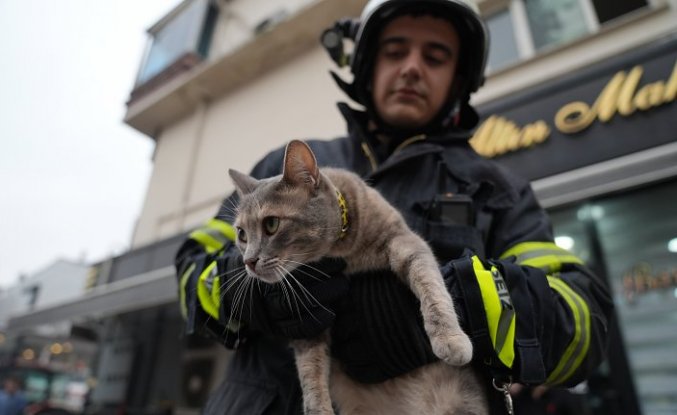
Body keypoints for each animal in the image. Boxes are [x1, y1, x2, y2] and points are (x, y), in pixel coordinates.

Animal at [227, 141, 486, 415]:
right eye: (242, 234)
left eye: (271, 224)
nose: (248, 261)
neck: (341, 253)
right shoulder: (310, 319)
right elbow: (310, 369)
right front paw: (318, 409)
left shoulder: (404, 241)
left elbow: (431, 286)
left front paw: (450, 339)